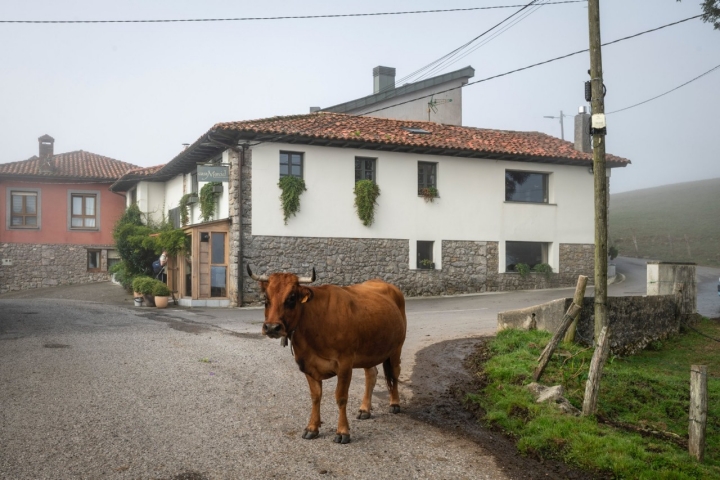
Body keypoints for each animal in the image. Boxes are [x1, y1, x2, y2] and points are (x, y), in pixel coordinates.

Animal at [247, 264, 407, 444]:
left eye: (292, 297)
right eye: (266, 298)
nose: (272, 327)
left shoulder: (345, 363)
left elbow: (341, 397)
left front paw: (343, 431)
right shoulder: (308, 364)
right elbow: (316, 396)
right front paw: (312, 428)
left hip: (397, 347)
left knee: (394, 374)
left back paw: (394, 403)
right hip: (369, 351)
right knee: (371, 375)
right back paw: (365, 409)